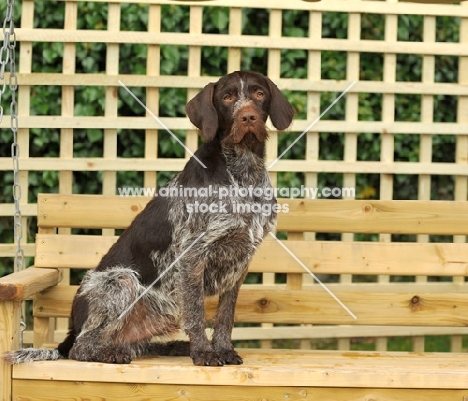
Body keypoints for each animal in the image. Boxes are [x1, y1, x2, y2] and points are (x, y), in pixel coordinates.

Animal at [4, 72, 292, 366]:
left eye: (259, 94)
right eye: (227, 97)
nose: (248, 117)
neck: (244, 172)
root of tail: (72, 328)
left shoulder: (240, 261)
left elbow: (225, 315)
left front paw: (222, 349)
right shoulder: (191, 255)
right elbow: (197, 314)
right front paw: (203, 352)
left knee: (133, 344)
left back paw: (171, 347)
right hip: (121, 281)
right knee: (81, 348)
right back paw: (111, 353)